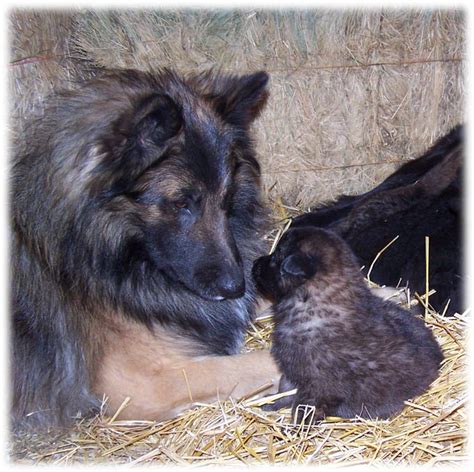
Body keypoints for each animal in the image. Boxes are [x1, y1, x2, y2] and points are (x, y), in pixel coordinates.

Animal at [254, 227, 442, 422]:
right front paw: (272, 403)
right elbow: (285, 391)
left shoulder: (316, 384)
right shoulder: (294, 369)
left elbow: (302, 407)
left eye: (277, 257)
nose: (255, 264)